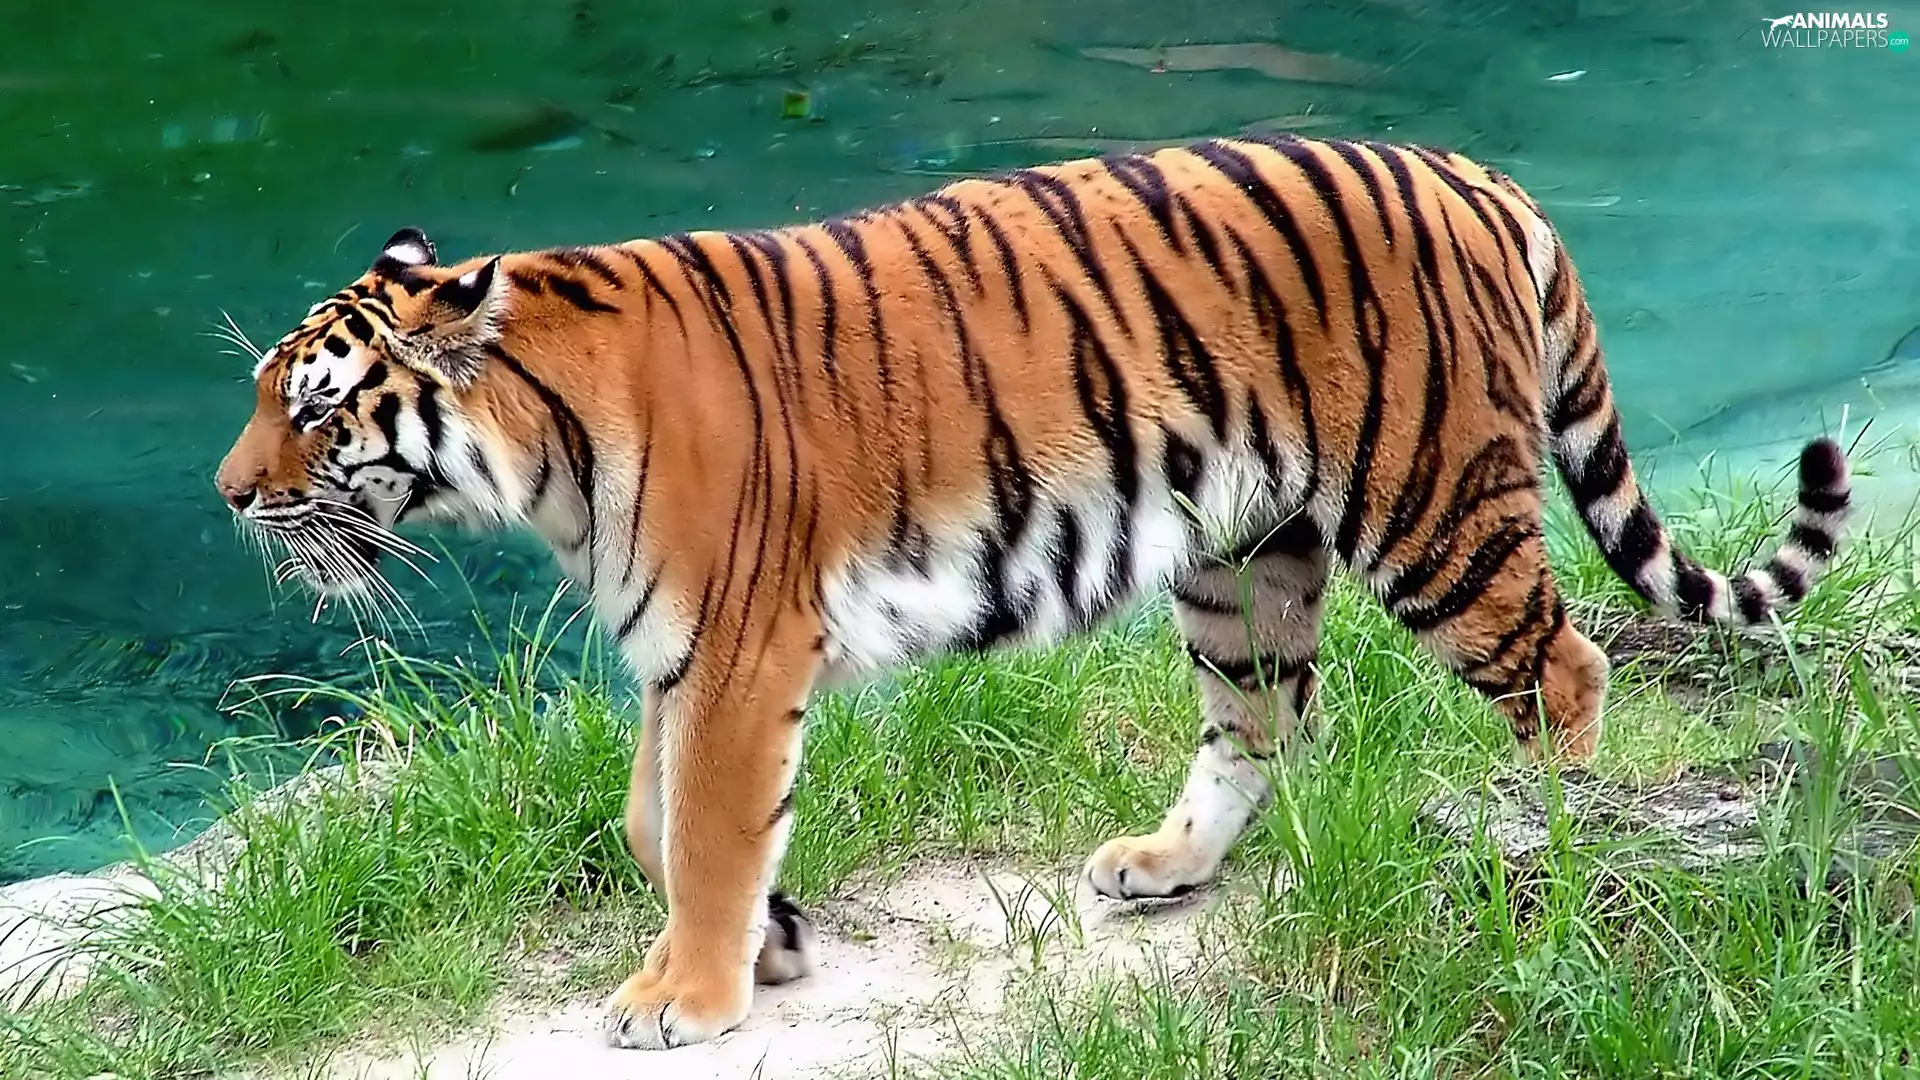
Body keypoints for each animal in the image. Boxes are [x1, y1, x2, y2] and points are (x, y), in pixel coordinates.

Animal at [213, 133, 1851, 1050]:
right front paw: (768, 939)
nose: (227, 497)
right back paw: (1166, 863)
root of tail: (1476, 174)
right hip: (1241, 556)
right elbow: (653, 821)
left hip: (1432, 504)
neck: (537, 453)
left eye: (313, 406)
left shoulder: (737, 649)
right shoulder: (675, 657)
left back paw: (1556, 843)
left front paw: (688, 996)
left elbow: (709, 826)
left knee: (1565, 669)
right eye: (263, 396)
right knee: (1265, 725)